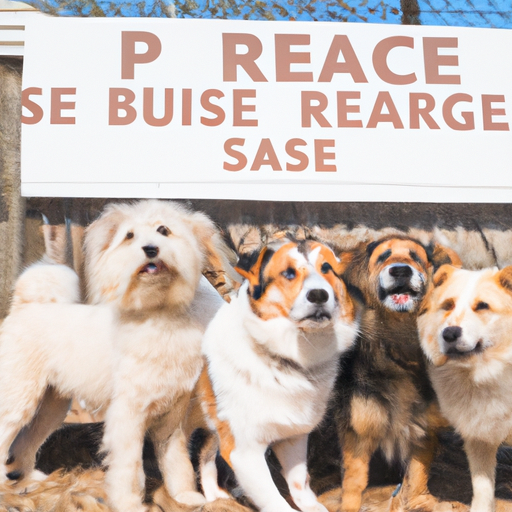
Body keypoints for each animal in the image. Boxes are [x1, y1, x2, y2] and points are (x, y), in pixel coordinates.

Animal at [0, 199, 226, 512]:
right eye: (129, 236)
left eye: (164, 230)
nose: (150, 249)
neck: (158, 312)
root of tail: (24, 305)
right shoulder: (128, 416)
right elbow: (130, 469)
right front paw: (129, 503)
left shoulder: (171, 420)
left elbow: (176, 461)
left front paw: (184, 495)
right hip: (18, 400)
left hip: (50, 407)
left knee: (25, 443)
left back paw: (30, 480)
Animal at [198, 240, 358, 512]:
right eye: (289, 273)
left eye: (327, 268)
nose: (319, 295)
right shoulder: (244, 451)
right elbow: (274, 500)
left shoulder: (293, 436)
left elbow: (299, 481)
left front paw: (311, 505)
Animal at [334, 236, 462, 512]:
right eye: (383, 257)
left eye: (415, 257)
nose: (401, 270)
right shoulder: (358, 431)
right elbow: (354, 482)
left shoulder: (422, 428)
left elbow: (416, 474)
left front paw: (417, 501)